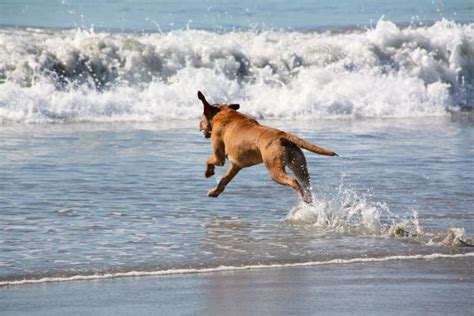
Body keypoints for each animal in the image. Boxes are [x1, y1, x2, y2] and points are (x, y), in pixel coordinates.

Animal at [198, 90, 338, 204]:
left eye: (202, 117)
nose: (199, 125)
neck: (224, 114)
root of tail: (281, 135)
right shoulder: (236, 165)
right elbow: (224, 180)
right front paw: (215, 192)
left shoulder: (219, 158)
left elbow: (209, 160)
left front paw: (208, 172)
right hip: (299, 166)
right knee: (306, 184)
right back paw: (309, 198)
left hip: (274, 170)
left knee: (293, 181)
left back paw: (302, 196)